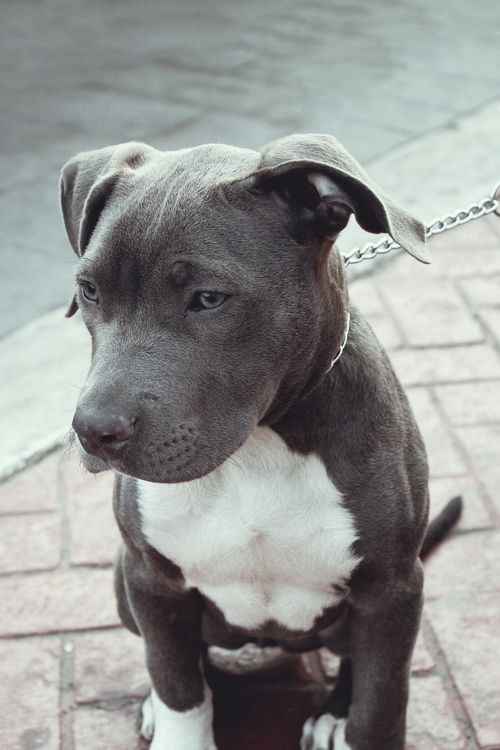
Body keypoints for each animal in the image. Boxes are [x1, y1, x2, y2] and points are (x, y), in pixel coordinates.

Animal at [61, 135, 460, 750]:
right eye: (88, 291)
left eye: (209, 298)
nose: (92, 431)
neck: (255, 448)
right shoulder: (152, 581)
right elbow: (178, 685)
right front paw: (174, 717)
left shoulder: (391, 588)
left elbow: (380, 707)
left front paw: (354, 719)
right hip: (123, 584)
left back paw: (333, 713)